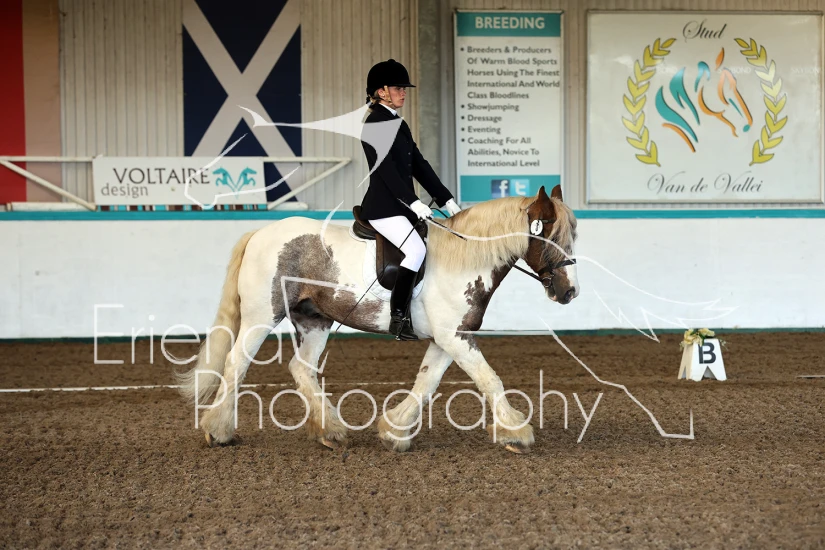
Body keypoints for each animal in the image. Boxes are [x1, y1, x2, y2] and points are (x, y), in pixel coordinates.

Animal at [176, 184, 579, 453]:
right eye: (550, 235)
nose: (569, 292)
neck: (464, 258)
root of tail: (259, 232)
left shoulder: (448, 338)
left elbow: (426, 383)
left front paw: (394, 431)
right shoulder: (456, 338)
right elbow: (490, 379)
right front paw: (518, 434)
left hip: (314, 319)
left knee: (301, 368)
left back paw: (331, 431)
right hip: (262, 315)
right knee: (236, 364)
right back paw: (218, 430)